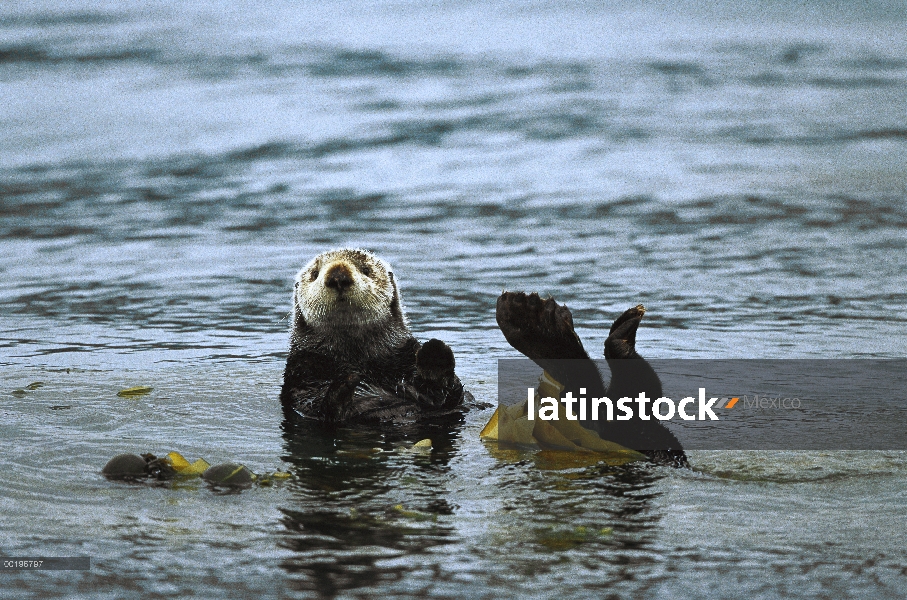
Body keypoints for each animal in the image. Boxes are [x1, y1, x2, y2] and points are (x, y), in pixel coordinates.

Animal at [282, 248, 468, 422]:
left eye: (366, 269)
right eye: (315, 274)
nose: (338, 277)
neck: (356, 356)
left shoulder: (404, 355)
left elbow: (451, 394)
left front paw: (435, 354)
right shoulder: (303, 372)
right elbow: (316, 405)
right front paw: (347, 379)